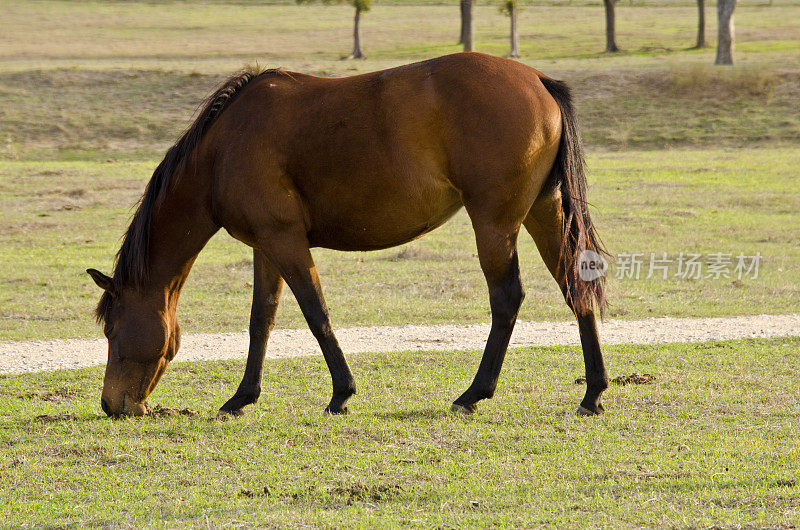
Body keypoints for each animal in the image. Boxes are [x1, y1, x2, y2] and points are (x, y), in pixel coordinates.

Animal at [87, 53, 608, 416]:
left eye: (112, 329)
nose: (112, 405)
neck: (223, 149)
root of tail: (537, 80)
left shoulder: (286, 241)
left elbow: (315, 313)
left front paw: (341, 394)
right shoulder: (266, 248)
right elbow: (261, 321)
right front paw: (242, 397)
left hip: (495, 223)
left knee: (507, 299)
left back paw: (473, 393)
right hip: (543, 212)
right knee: (574, 286)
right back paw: (593, 392)